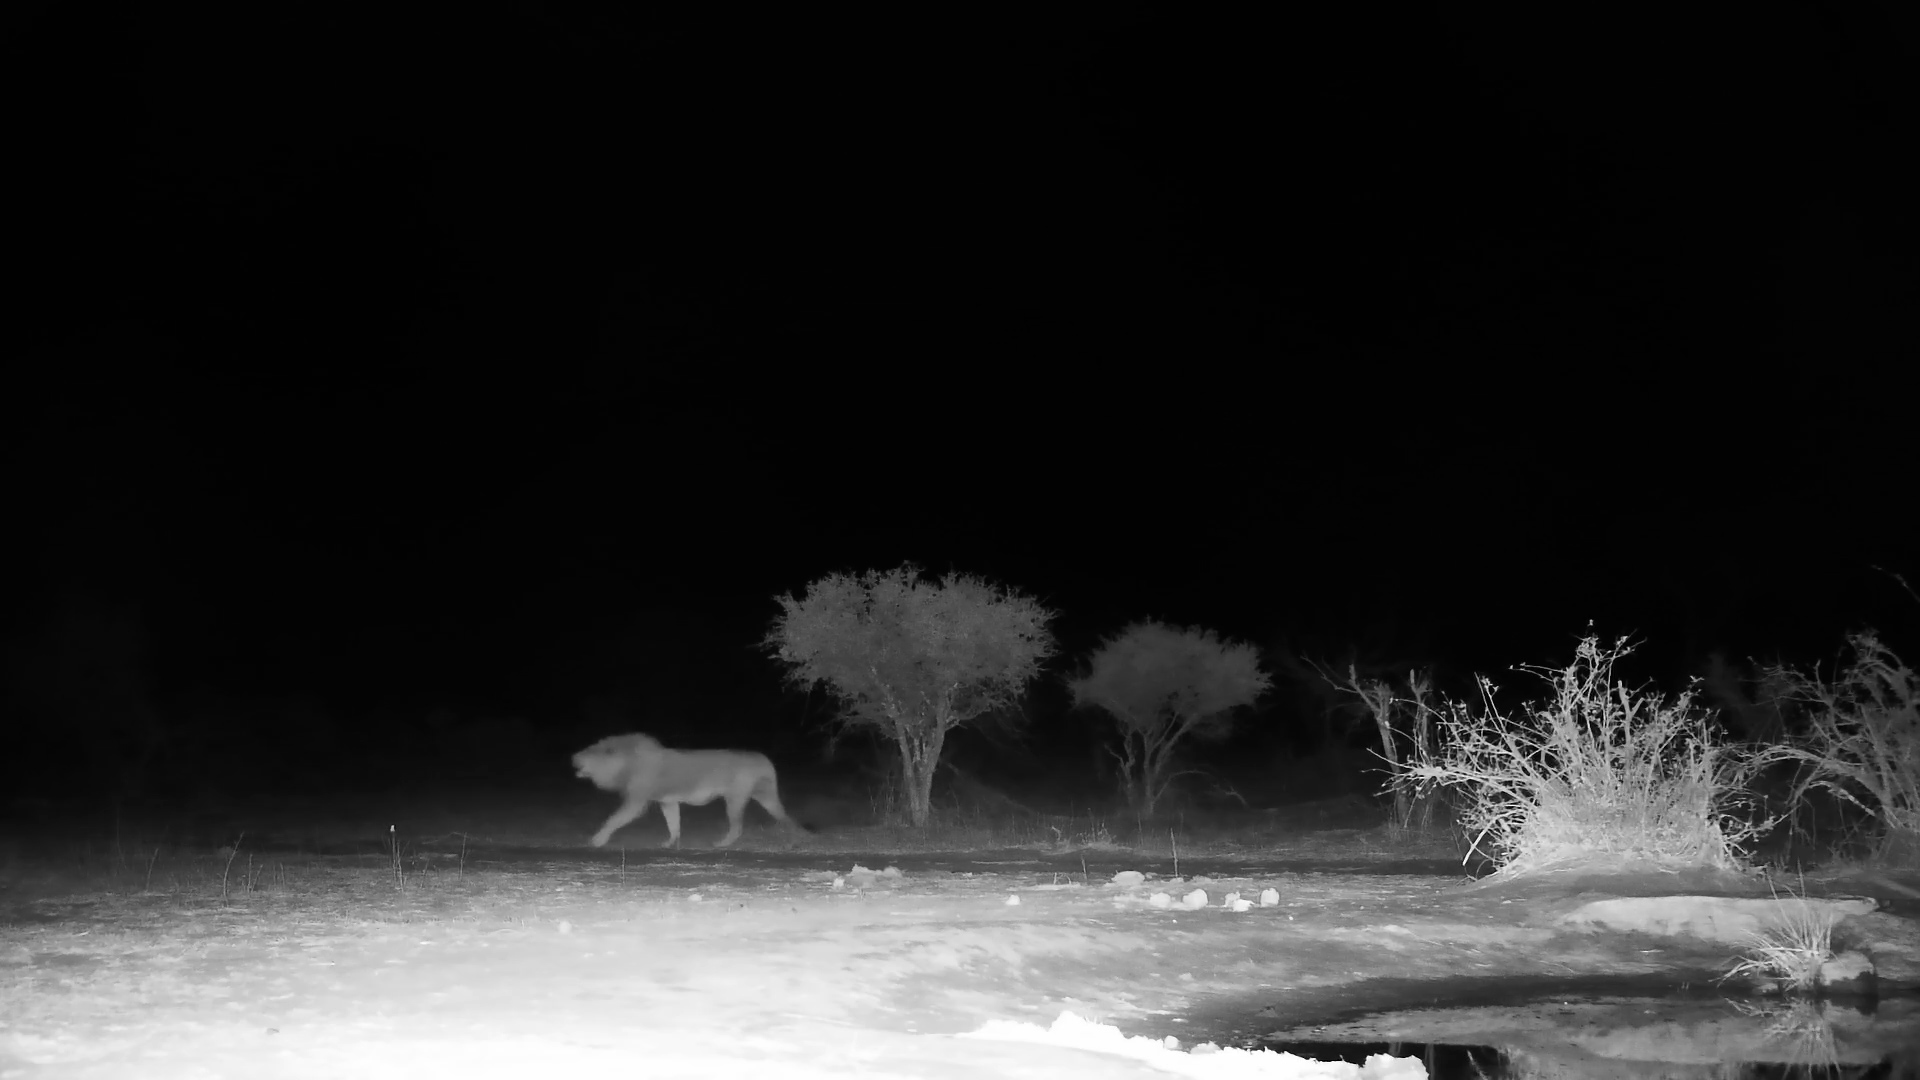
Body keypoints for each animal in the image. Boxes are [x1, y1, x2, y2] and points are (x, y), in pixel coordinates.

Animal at [572, 732, 805, 848]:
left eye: (587, 752)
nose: (573, 757)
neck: (626, 763)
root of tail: (761, 758)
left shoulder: (636, 800)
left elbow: (613, 819)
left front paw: (597, 840)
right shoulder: (667, 801)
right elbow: (673, 823)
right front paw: (670, 843)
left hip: (735, 797)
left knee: (737, 826)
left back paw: (721, 844)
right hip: (766, 796)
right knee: (785, 817)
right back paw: (795, 840)